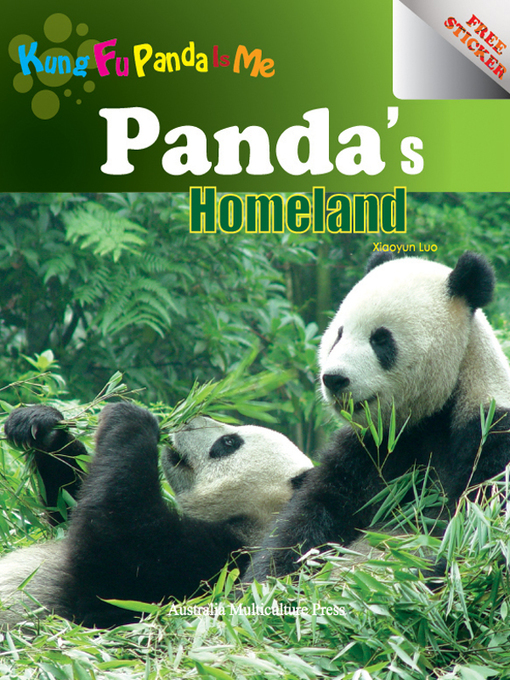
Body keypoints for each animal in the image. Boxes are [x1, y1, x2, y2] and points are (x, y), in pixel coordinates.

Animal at [0, 402, 312, 628]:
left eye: (229, 442)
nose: (188, 419)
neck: (254, 516)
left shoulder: (223, 562)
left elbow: (120, 542)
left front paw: (131, 417)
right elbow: (70, 500)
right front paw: (41, 424)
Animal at [245, 251, 510, 582]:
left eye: (381, 339)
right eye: (338, 335)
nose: (334, 379)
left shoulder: (488, 435)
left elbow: (470, 529)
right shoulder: (370, 448)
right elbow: (312, 515)